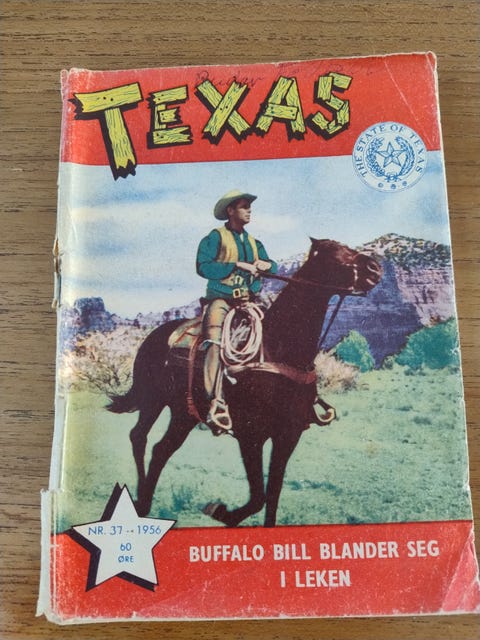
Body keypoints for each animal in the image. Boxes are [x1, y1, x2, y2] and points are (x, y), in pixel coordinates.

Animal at [108, 238, 382, 527]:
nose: (374, 268)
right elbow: (258, 496)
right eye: (334, 254)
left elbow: (273, 494)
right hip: (152, 400)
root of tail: (154, 336)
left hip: (184, 414)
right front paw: (219, 511)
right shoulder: (251, 436)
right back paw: (140, 501)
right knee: (139, 436)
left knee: (161, 449)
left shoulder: (288, 436)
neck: (278, 350)